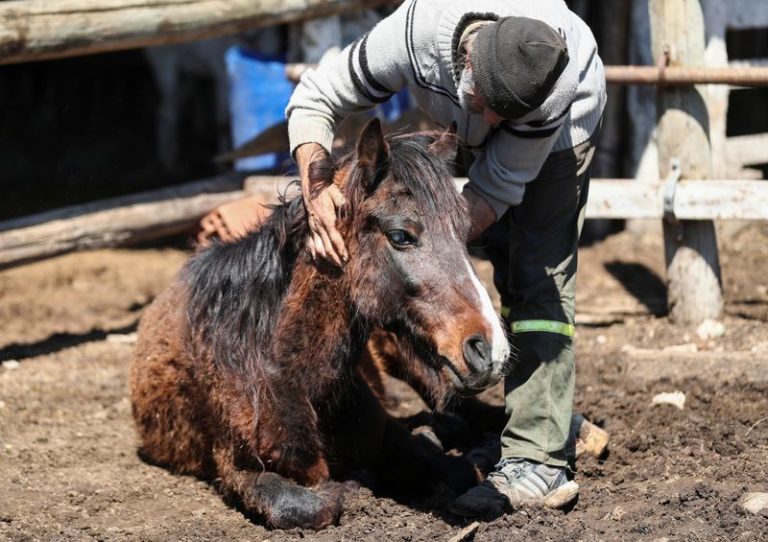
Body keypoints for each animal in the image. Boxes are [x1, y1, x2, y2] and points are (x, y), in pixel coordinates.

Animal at [129, 118, 510, 530]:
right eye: (399, 235)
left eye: (464, 232)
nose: (490, 349)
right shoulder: (237, 468)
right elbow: (311, 504)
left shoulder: (387, 435)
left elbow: (461, 472)